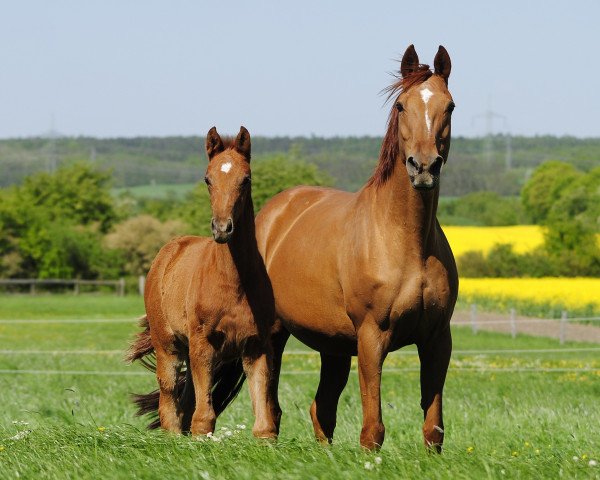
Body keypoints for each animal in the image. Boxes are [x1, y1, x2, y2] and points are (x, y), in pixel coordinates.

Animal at [127, 126, 278, 438]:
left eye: (246, 179)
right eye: (207, 178)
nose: (222, 228)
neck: (234, 285)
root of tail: (169, 251)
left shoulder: (256, 346)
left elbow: (264, 423)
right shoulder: (203, 344)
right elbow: (203, 419)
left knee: (184, 403)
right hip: (169, 346)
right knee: (169, 404)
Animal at [255, 46, 458, 450]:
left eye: (450, 106)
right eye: (401, 106)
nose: (424, 167)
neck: (406, 242)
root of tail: (274, 211)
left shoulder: (437, 339)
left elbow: (433, 428)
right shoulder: (371, 336)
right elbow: (372, 428)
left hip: (332, 344)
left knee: (321, 409)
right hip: (274, 332)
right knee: (272, 405)